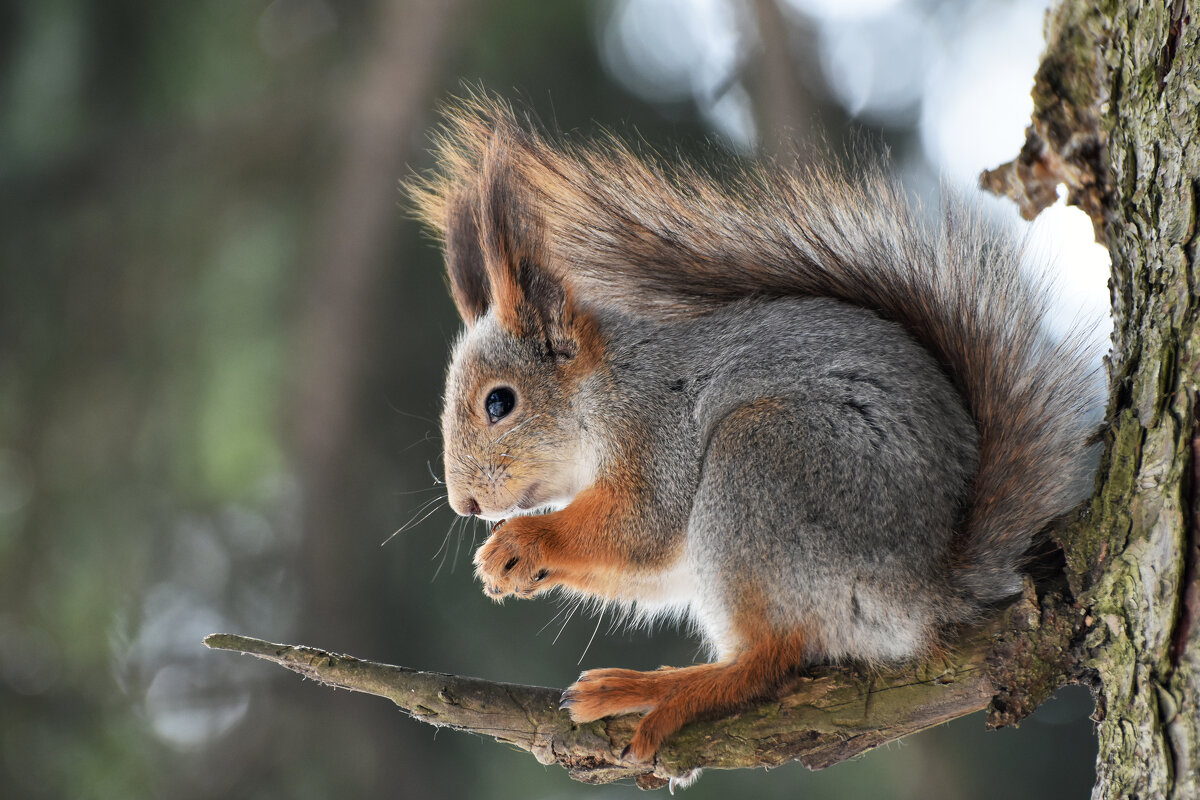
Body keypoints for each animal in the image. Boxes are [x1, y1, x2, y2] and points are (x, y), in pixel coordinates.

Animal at [408, 94, 1099, 767]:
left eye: (500, 403)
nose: (466, 505)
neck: (604, 389)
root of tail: (925, 592)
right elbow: (643, 568)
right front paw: (515, 567)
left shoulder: (657, 433)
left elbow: (639, 525)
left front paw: (522, 542)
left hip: (761, 464)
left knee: (768, 662)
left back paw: (668, 690)